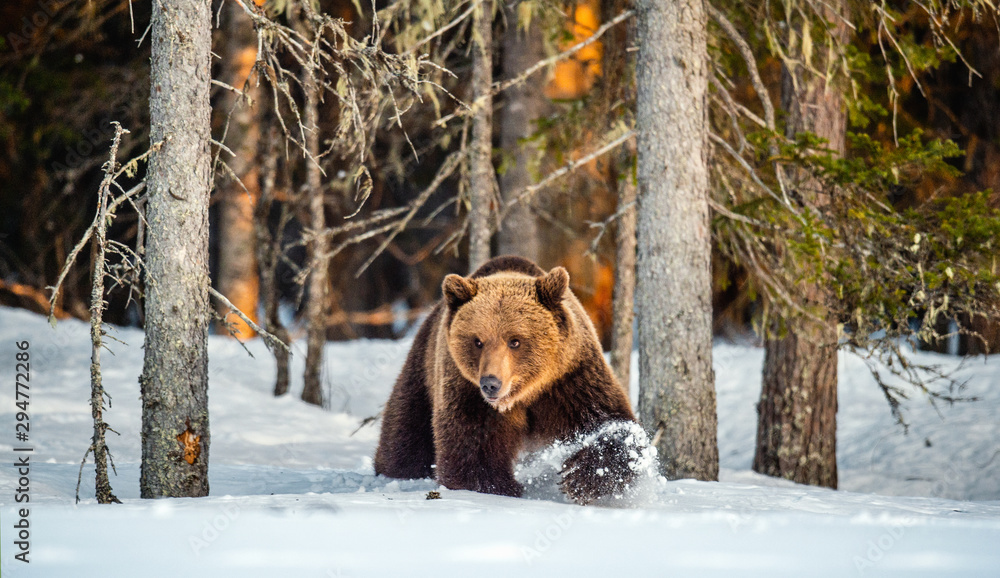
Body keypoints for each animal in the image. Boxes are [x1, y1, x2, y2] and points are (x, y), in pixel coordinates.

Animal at [376, 254, 648, 502]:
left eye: (515, 341)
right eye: (477, 341)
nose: (491, 383)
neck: (523, 394)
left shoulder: (570, 378)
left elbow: (611, 422)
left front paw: (582, 477)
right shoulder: (467, 392)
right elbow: (473, 449)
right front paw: (499, 489)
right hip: (423, 369)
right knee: (406, 433)